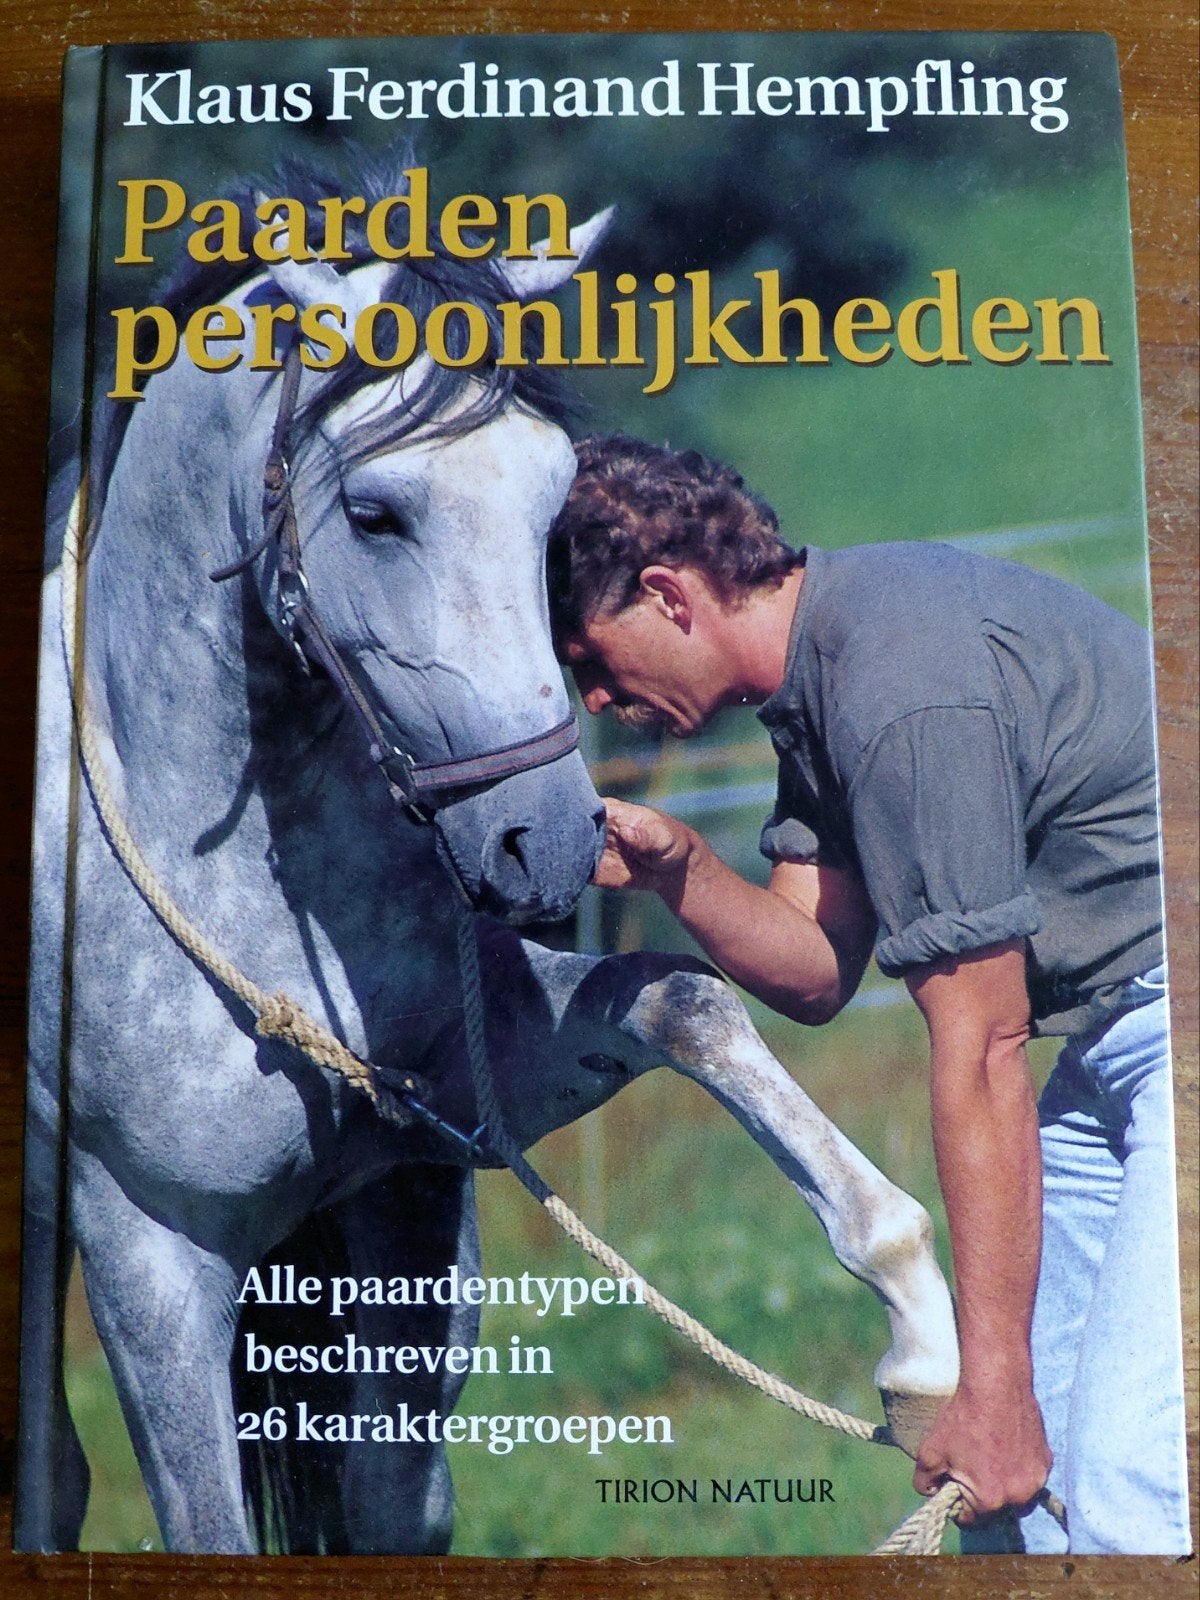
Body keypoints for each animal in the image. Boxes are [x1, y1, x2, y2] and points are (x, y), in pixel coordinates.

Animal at [17, 156, 958, 1554]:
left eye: (554, 494)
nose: (551, 841)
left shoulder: (435, 1149)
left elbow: (683, 1000)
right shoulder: (153, 1259)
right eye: (373, 511)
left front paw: (920, 1330)